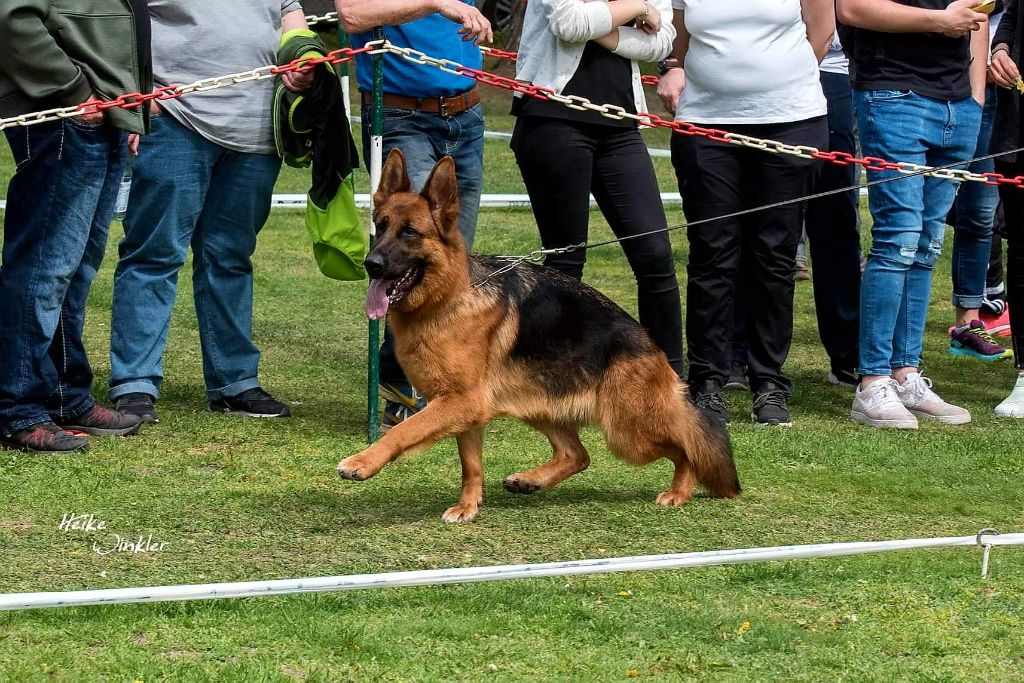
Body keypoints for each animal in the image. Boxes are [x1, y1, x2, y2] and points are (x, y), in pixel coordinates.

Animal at [339, 150, 741, 524]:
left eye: (410, 232)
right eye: (380, 226)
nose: (371, 264)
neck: (448, 297)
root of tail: (652, 347)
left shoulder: (460, 402)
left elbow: (403, 432)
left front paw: (361, 462)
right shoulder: (467, 408)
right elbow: (471, 465)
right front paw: (469, 506)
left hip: (627, 433)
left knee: (685, 448)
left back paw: (679, 492)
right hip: (540, 404)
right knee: (578, 455)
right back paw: (530, 480)